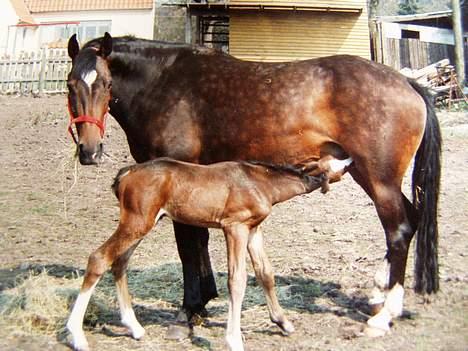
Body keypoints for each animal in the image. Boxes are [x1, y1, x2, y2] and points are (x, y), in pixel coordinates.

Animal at [66, 158, 326, 350]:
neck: (259, 181)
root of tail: (127, 173)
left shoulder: (253, 230)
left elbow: (265, 273)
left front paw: (283, 323)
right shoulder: (235, 227)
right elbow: (237, 281)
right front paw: (234, 340)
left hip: (140, 224)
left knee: (119, 263)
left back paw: (135, 327)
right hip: (135, 223)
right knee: (99, 258)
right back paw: (77, 336)